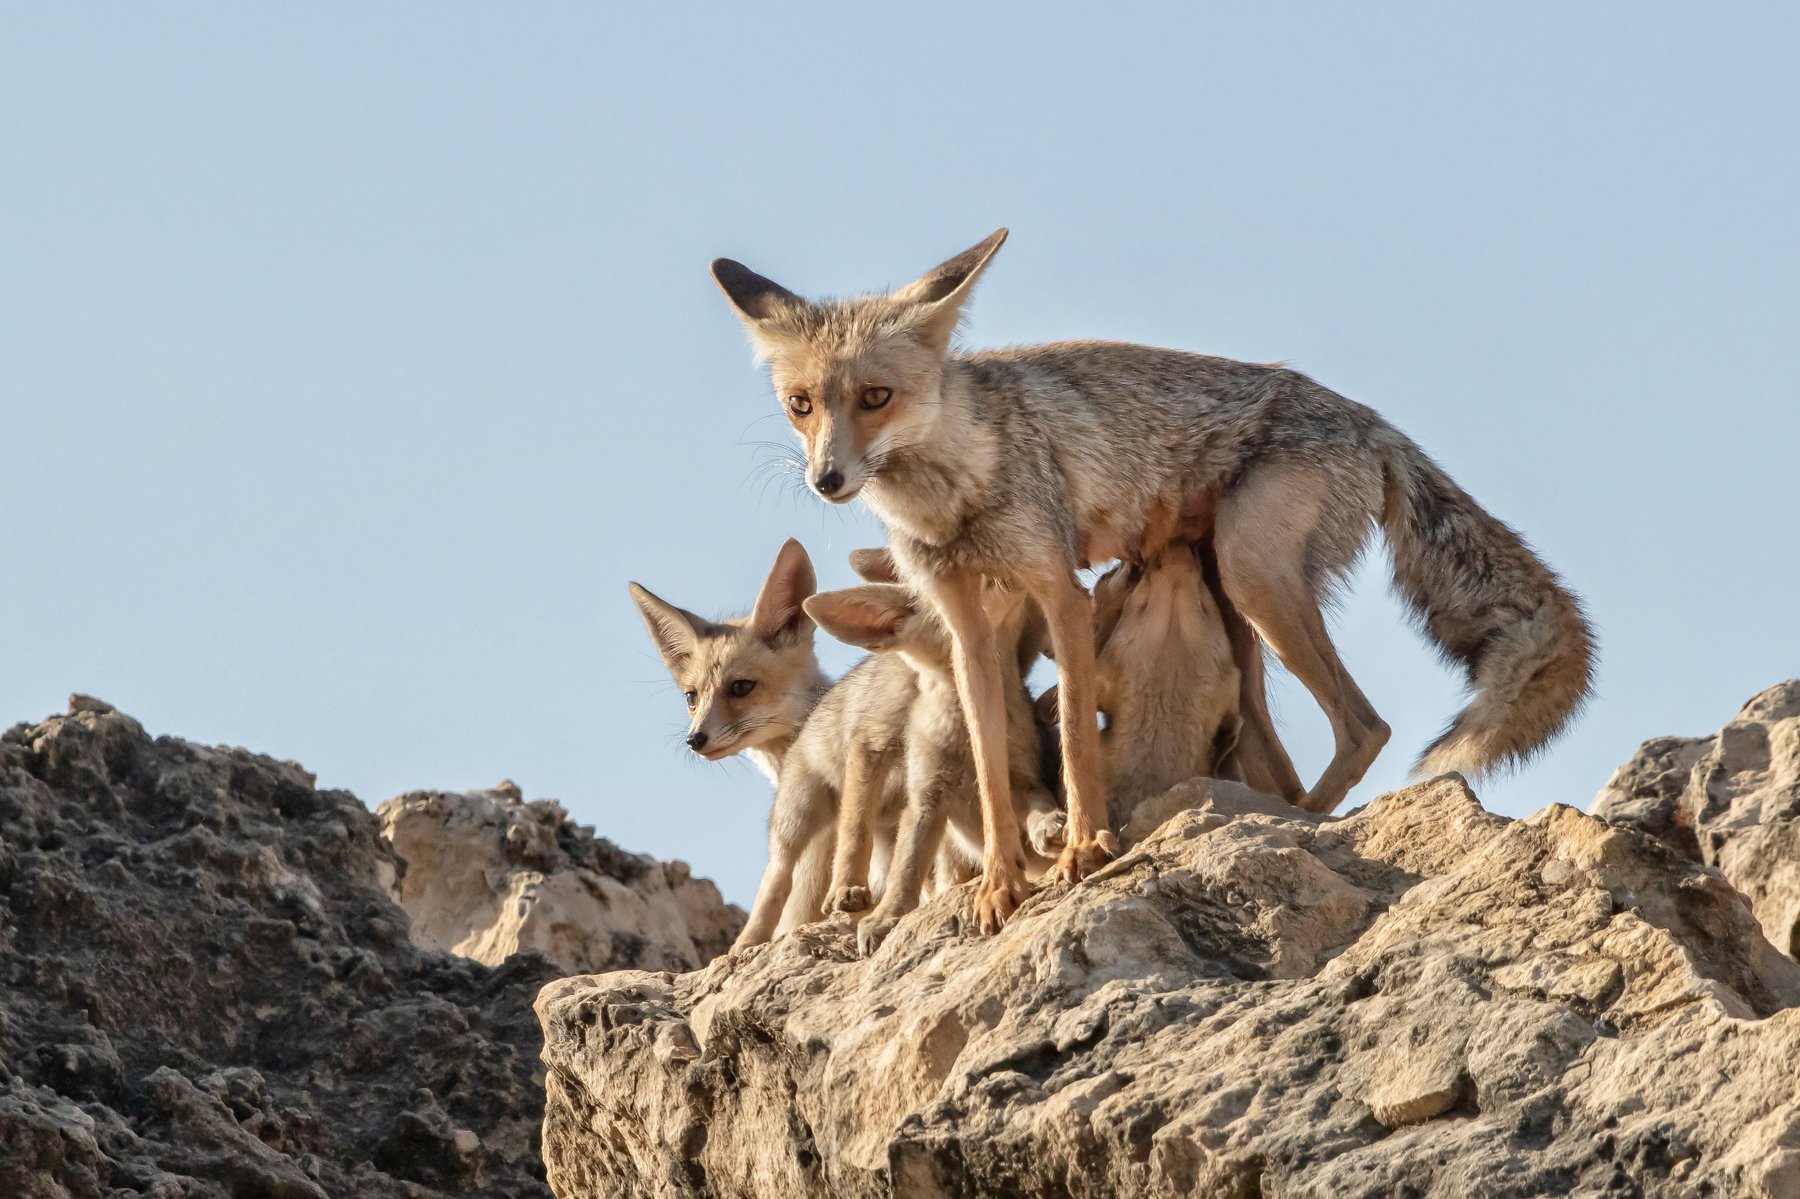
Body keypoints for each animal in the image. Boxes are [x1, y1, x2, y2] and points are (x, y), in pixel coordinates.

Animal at [709, 226, 1598, 936]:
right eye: (800, 405)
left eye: (876, 396)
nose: (827, 479)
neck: (957, 495)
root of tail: (1370, 419)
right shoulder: (966, 625)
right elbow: (992, 773)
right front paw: (1000, 883)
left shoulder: (1060, 591)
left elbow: (1074, 736)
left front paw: (1085, 849)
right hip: (1240, 622)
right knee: (1291, 744)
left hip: (1252, 579)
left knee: (1366, 727)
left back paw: (1305, 822)